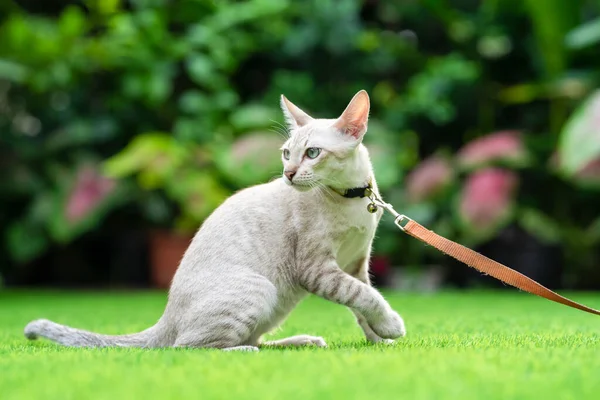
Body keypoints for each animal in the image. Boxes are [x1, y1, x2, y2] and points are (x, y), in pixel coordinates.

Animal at [24, 90, 408, 350]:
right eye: (287, 153)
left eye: (312, 153)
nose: (288, 174)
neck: (352, 198)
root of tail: (167, 317)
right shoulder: (319, 269)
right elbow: (364, 296)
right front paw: (392, 327)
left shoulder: (356, 262)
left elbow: (363, 302)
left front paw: (379, 339)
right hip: (261, 288)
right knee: (192, 347)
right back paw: (256, 350)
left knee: (251, 340)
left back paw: (301, 342)